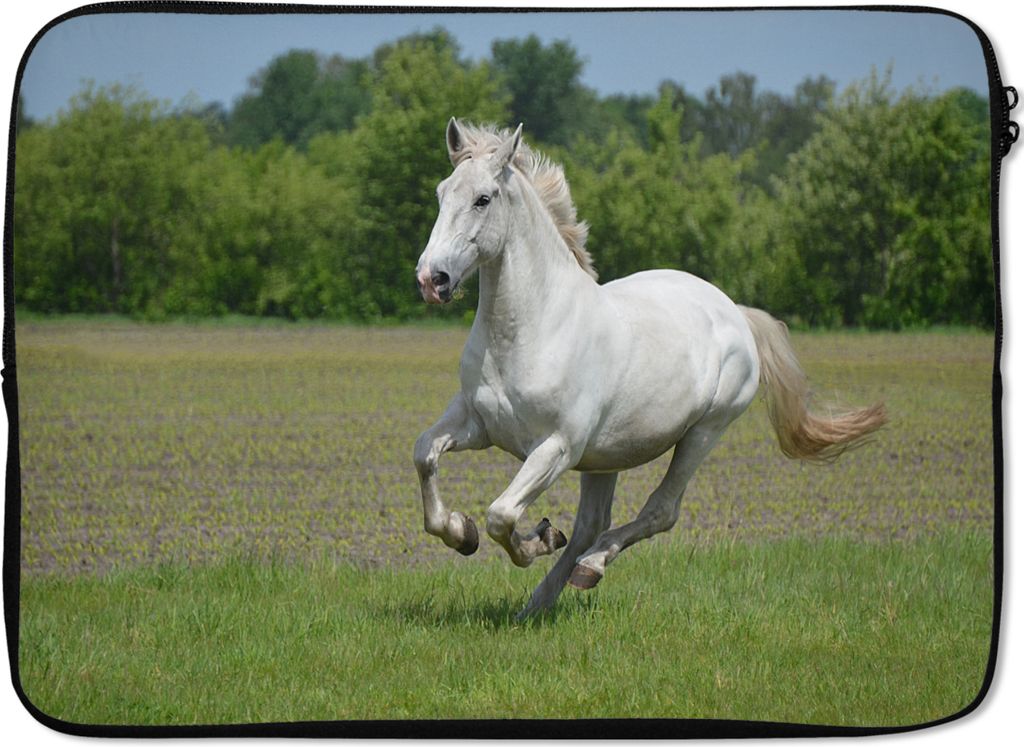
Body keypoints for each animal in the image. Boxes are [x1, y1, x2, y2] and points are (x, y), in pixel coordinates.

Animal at [413, 118, 886, 619]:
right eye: (442, 193)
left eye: (483, 199)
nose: (431, 279)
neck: (529, 331)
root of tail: (734, 311)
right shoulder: (477, 423)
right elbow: (425, 454)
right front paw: (461, 533)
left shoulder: (556, 447)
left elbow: (501, 515)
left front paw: (534, 538)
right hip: (605, 456)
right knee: (590, 524)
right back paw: (538, 603)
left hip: (702, 433)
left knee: (659, 512)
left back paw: (590, 567)